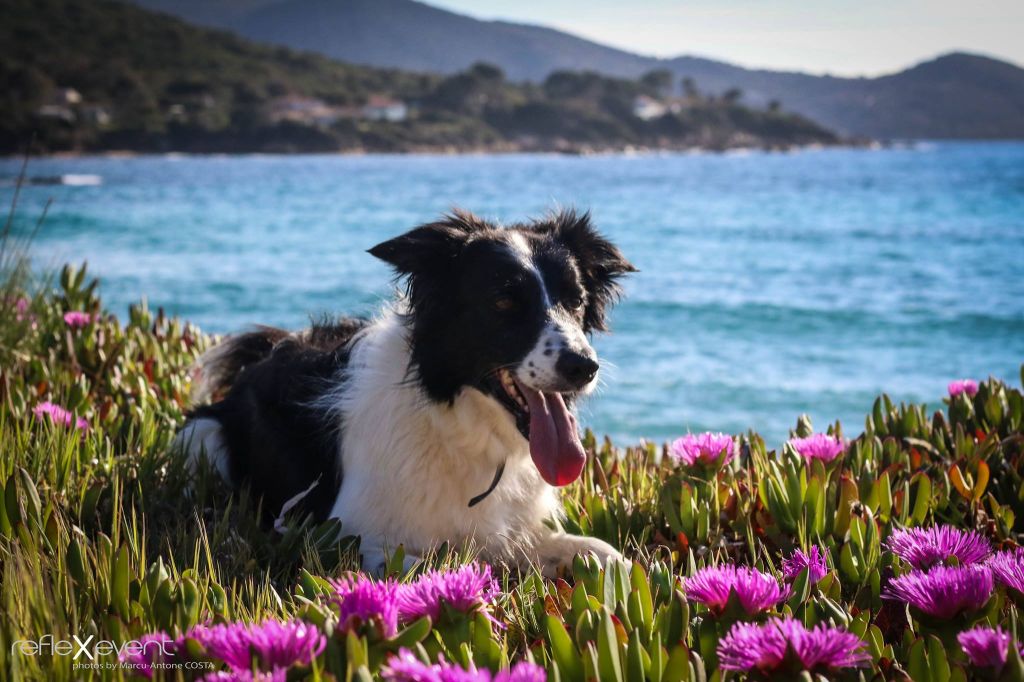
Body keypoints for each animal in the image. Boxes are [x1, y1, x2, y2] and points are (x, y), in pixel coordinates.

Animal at [180, 209, 634, 569]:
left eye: (576, 301)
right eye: (503, 301)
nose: (584, 367)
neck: (459, 426)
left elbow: (608, 555)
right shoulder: (339, 537)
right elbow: (428, 568)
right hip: (202, 437)